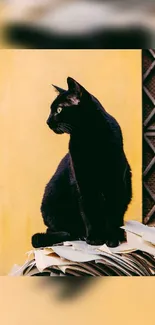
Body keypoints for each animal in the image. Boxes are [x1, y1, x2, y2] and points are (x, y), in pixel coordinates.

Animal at [31, 76, 132, 248]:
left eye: (59, 110)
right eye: (51, 110)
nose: (47, 121)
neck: (89, 137)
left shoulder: (115, 180)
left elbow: (112, 212)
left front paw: (111, 239)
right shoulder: (82, 181)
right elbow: (89, 210)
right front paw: (94, 238)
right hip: (51, 198)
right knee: (57, 230)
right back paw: (78, 235)